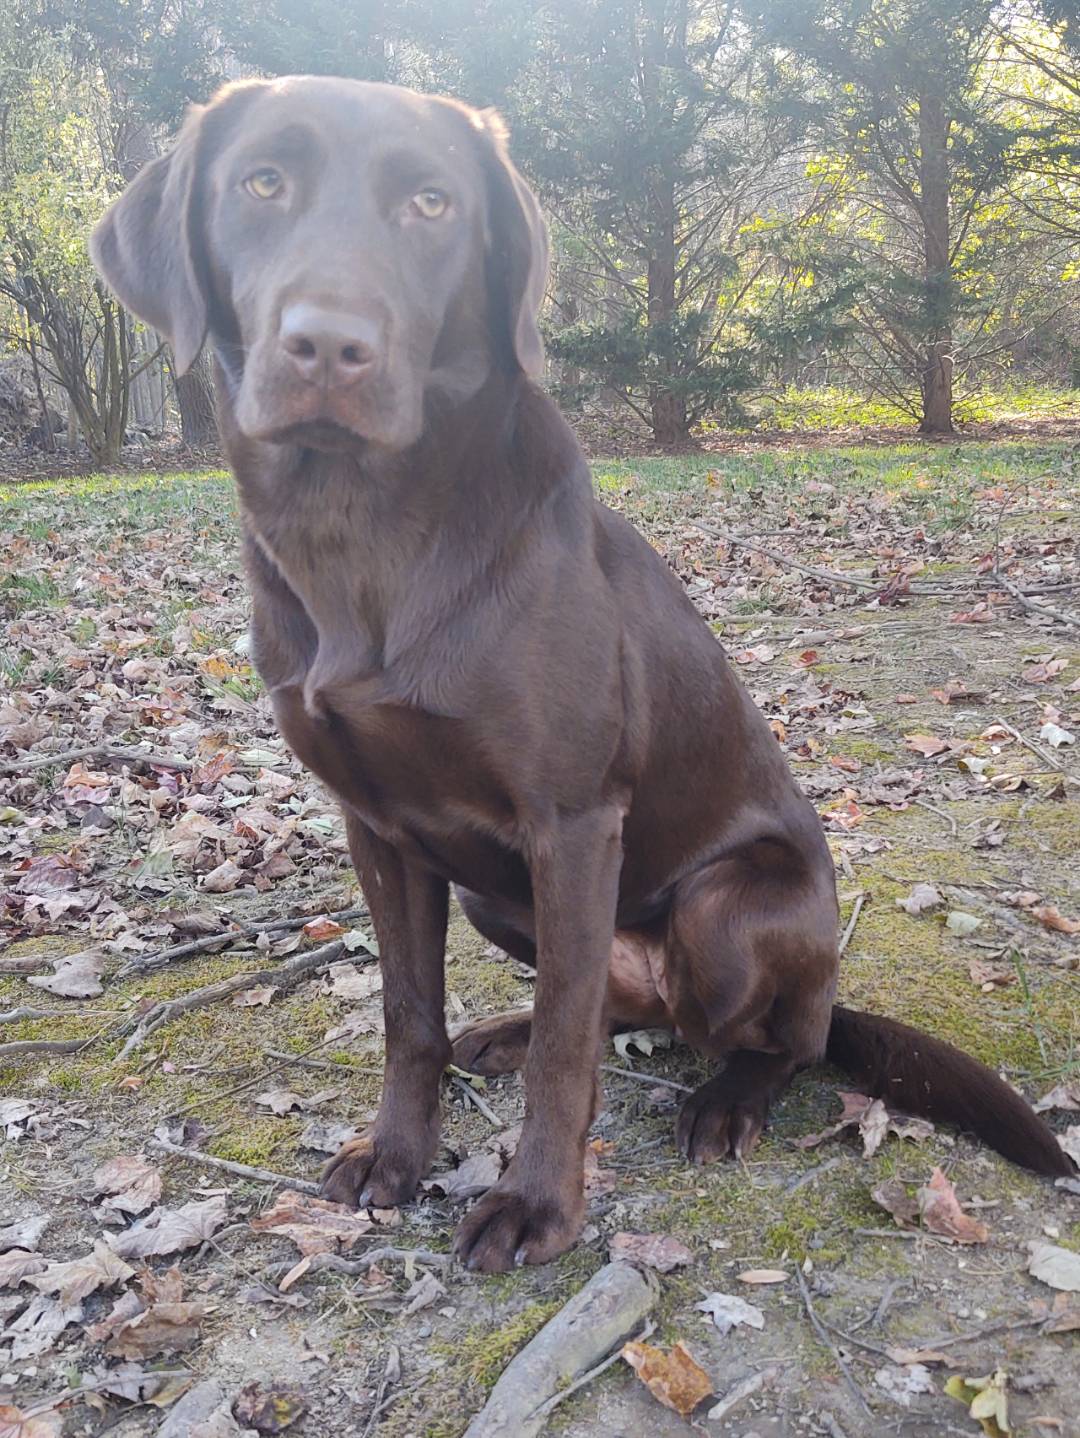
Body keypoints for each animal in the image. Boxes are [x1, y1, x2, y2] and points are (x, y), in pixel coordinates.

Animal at [92, 75, 1075, 1271]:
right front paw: (397, 1154)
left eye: (432, 203)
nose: (328, 344)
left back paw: (728, 1099)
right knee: (619, 1009)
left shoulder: (571, 820)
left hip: (727, 909)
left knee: (772, 1039)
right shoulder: (378, 826)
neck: (361, 528)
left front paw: (538, 1205)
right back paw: (507, 1034)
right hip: (491, 894)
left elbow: (569, 1044)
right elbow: (409, 1016)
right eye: (261, 183)